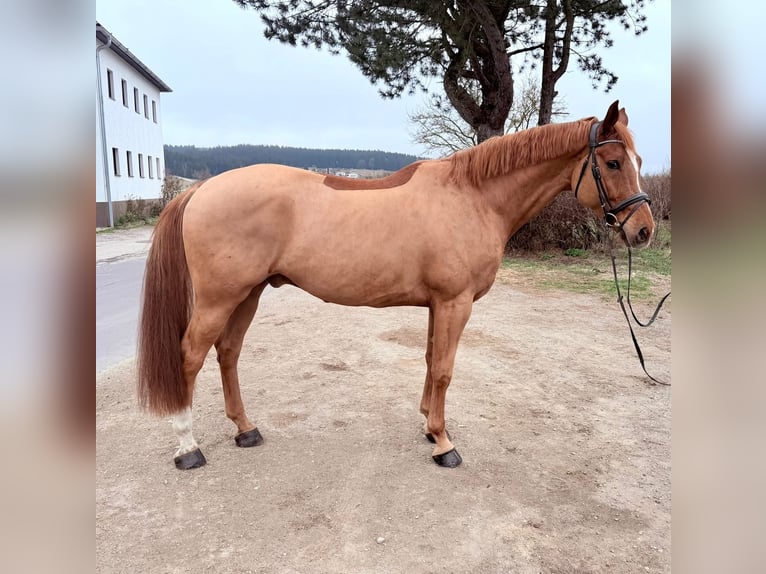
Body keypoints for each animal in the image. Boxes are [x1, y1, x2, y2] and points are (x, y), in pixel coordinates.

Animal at [137, 100, 654, 470]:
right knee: (190, 356)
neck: (473, 197)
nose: (644, 230)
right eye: (612, 162)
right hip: (219, 298)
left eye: (637, 158)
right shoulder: (455, 303)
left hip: (249, 293)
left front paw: (428, 425)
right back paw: (188, 448)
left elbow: (429, 361)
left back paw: (246, 429)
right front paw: (444, 444)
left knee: (228, 353)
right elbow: (444, 369)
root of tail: (199, 189)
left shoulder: (437, 304)